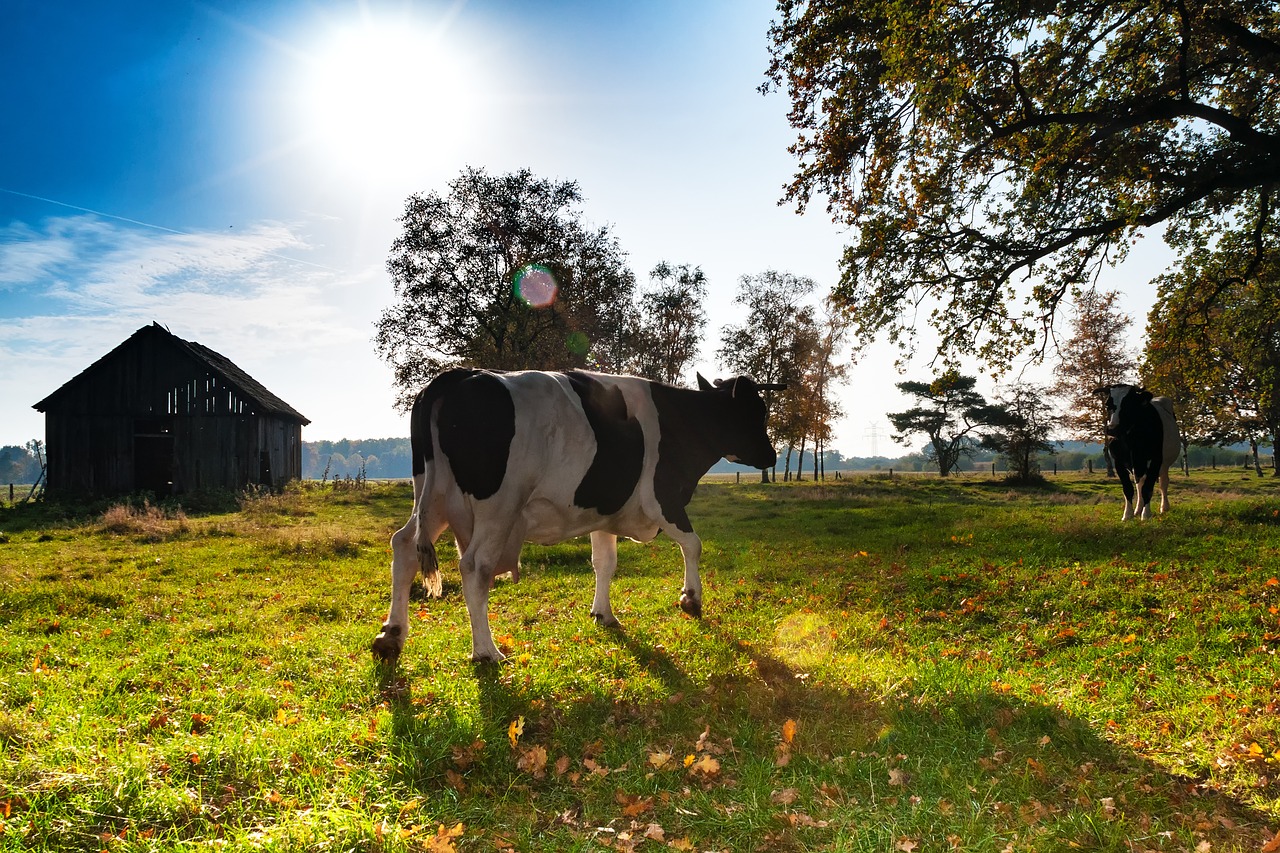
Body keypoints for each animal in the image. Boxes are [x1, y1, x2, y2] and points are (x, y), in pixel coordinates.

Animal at [371, 366, 778, 655]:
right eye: (756, 413)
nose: (772, 456)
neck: (682, 421)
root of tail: (456, 376)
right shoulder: (662, 498)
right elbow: (693, 544)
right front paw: (691, 599)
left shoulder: (604, 511)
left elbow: (605, 563)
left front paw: (604, 614)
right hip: (497, 507)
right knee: (475, 566)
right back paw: (486, 652)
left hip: (433, 497)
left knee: (404, 546)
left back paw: (391, 636)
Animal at [1100, 384, 1177, 517]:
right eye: (1107, 404)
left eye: (1129, 403)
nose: (1113, 428)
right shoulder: (1118, 461)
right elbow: (1128, 488)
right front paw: (1128, 514)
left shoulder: (1156, 459)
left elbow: (1148, 488)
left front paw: (1146, 515)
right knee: (1139, 484)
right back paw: (1138, 509)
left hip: (1164, 464)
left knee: (1163, 483)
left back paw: (1164, 507)